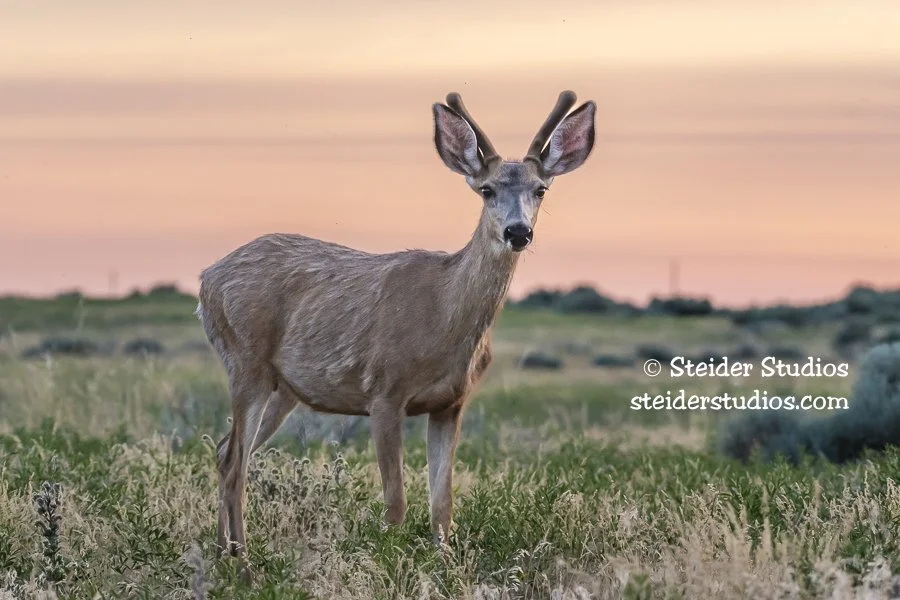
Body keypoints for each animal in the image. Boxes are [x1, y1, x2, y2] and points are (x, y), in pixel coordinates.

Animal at [196, 89, 596, 573]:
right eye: (487, 189)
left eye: (540, 189)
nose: (518, 231)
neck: (443, 318)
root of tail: (206, 279)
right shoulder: (384, 391)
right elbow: (395, 503)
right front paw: (385, 563)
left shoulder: (451, 403)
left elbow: (442, 503)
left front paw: (443, 567)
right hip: (245, 360)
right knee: (236, 463)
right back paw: (244, 564)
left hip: (283, 387)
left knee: (224, 451)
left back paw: (222, 553)